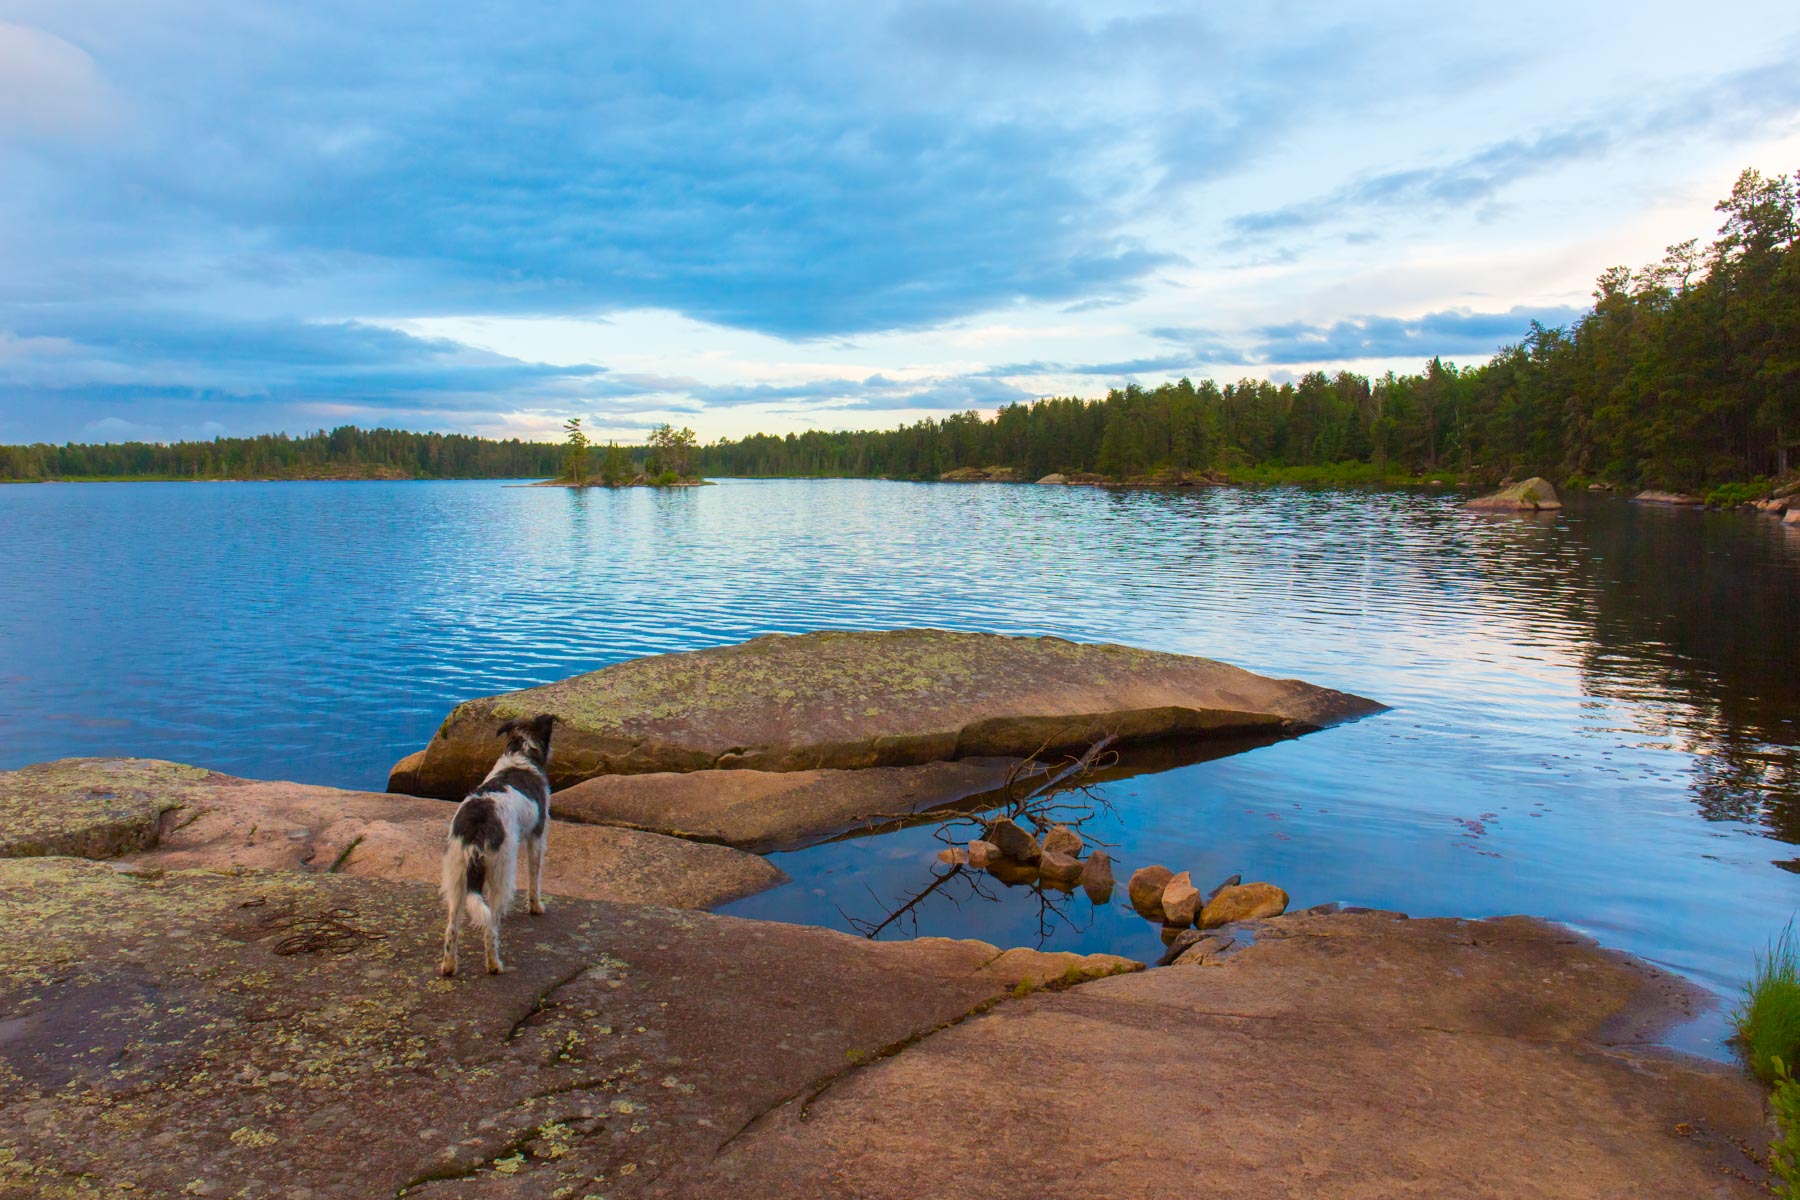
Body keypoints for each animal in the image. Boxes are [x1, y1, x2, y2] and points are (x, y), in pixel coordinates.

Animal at [439, 712, 550, 978]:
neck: (520, 755)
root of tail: (478, 825)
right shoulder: (537, 837)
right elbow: (535, 878)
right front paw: (536, 907)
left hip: (457, 873)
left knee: (452, 927)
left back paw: (449, 966)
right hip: (501, 868)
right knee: (490, 926)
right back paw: (494, 964)